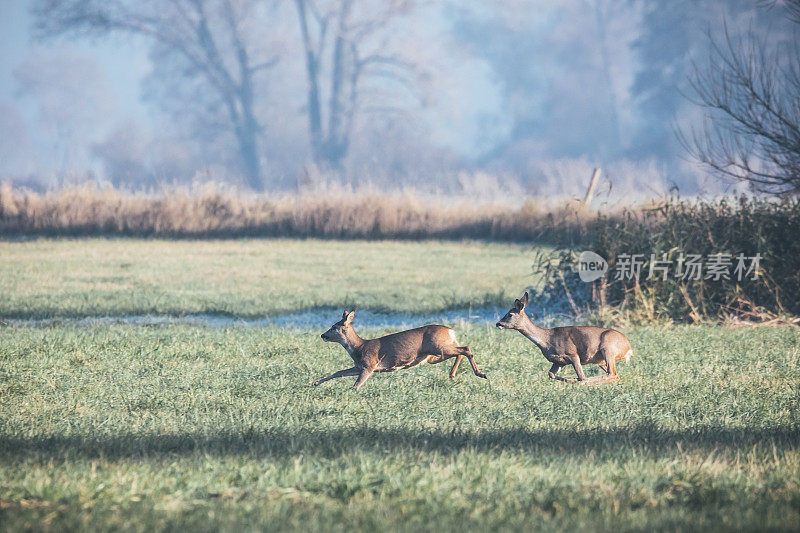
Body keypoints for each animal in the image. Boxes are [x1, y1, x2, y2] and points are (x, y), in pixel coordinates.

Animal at [314, 310, 488, 388]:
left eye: (334, 327)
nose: (323, 335)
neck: (359, 348)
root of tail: (451, 331)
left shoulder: (369, 365)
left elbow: (356, 384)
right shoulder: (359, 366)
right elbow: (338, 372)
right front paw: (315, 383)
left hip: (438, 347)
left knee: (465, 349)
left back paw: (480, 374)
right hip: (433, 356)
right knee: (462, 350)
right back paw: (452, 375)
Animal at [494, 290, 632, 382]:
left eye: (510, 314)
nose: (498, 323)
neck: (547, 340)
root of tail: (629, 348)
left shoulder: (573, 354)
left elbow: (582, 376)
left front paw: (575, 380)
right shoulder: (558, 361)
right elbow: (550, 374)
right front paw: (569, 380)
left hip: (608, 347)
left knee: (611, 374)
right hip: (601, 360)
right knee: (614, 374)